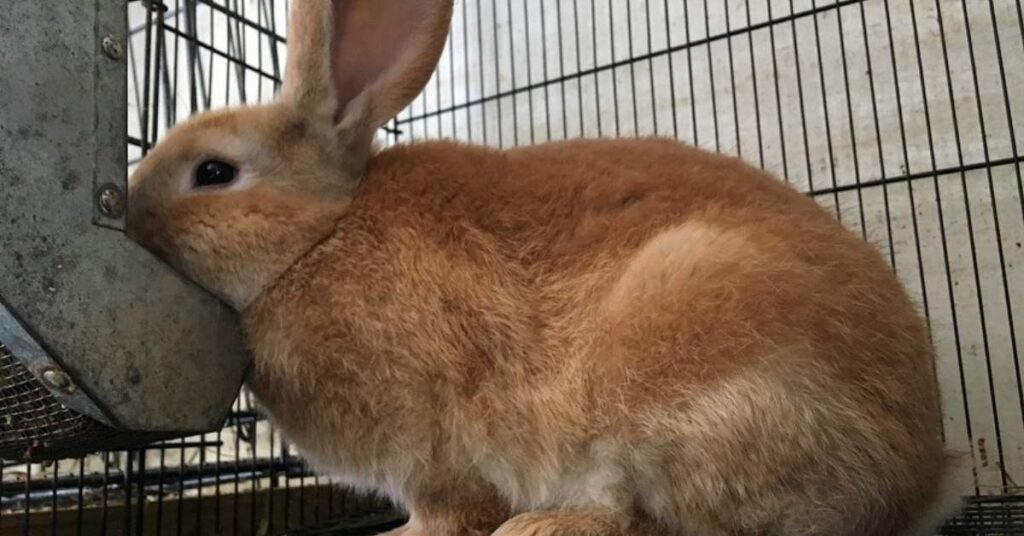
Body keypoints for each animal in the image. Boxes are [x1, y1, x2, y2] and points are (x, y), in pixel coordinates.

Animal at [126, 0, 970, 534]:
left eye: (213, 173)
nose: (127, 212)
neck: (319, 238)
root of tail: (919, 478)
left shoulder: (433, 454)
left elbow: (449, 512)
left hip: (680, 357)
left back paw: (546, 527)